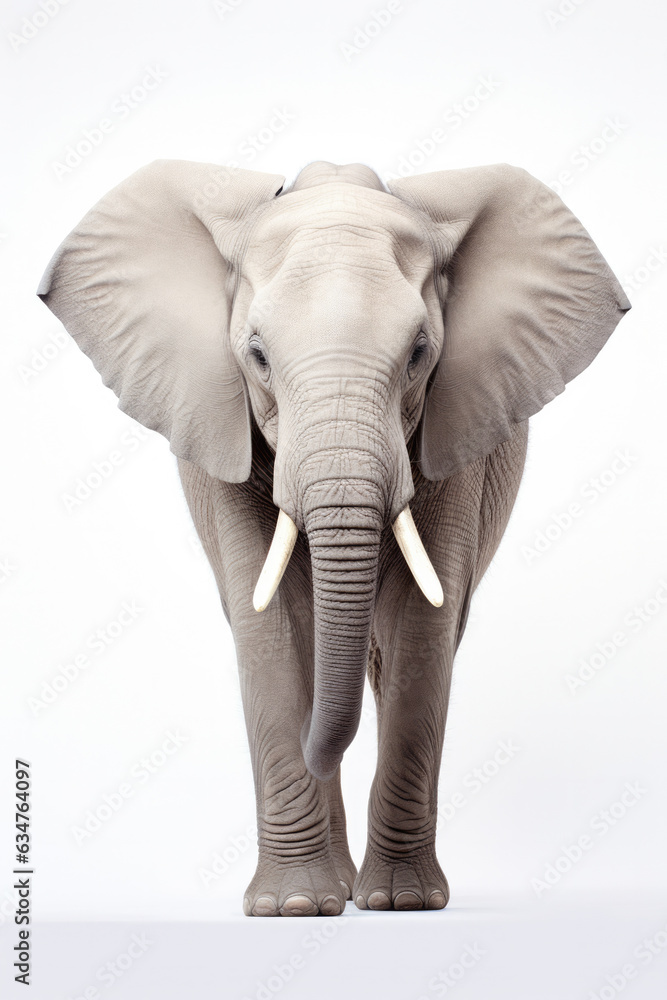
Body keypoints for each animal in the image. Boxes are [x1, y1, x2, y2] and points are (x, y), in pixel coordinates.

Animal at [38, 158, 630, 916]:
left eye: (419, 354)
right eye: (257, 356)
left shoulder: (455, 427)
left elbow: (420, 626)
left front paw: (401, 903)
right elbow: (270, 624)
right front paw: (293, 908)